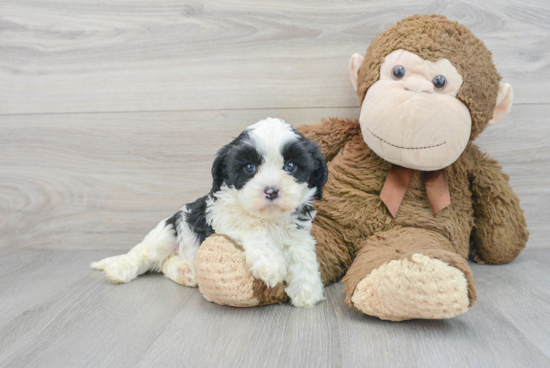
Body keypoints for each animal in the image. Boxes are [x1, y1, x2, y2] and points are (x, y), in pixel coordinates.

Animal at [92, 118, 330, 308]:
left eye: (291, 166)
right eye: (249, 168)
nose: (271, 191)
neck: (269, 217)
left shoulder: (298, 232)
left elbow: (302, 253)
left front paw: (307, 289)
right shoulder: (223, 215)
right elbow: (251, 225)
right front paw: (270, 263)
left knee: (165, 264)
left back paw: (185, 272)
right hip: (167, 232)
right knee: (143, 255)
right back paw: (119, 269)